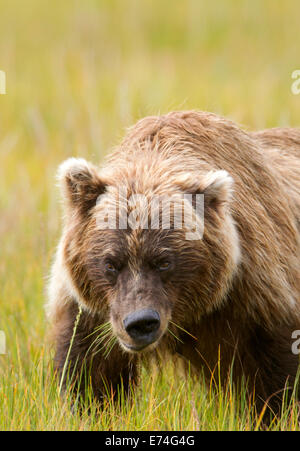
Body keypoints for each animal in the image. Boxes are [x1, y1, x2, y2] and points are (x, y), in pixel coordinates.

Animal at [47, 111, 300, 418]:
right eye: (111, 263)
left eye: (164, 261)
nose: (140, 322)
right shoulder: (91, 311)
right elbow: (90, 371)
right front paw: (91, 410)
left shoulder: (257, 295)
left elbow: (274, 381)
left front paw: (272, 413)